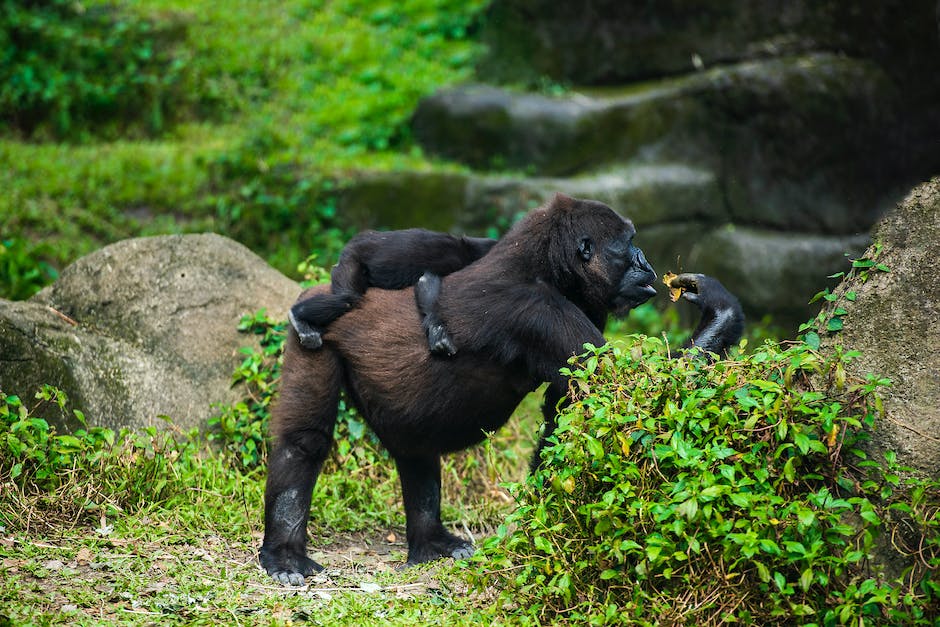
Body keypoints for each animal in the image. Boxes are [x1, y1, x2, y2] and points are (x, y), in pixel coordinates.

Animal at [290, 231, 500, 358]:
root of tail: (355, 240)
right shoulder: (452, 260)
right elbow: (426, 281)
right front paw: (438, 332)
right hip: (350, 260)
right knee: (347, 299)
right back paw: (298, 318)